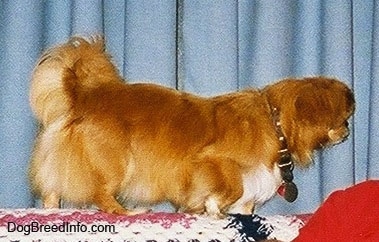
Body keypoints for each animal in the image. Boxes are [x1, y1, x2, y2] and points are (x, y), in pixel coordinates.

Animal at [29, 37, 356, 217]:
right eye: (344, 119)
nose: (349, 132)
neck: (274, 122)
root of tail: (82, 94)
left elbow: (245, 202)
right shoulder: (213, 163)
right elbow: (232, 188)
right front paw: (212, 209)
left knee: (52, 186)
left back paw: (51, 210)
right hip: (116, 163)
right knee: (100, 194)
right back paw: (127, 211)